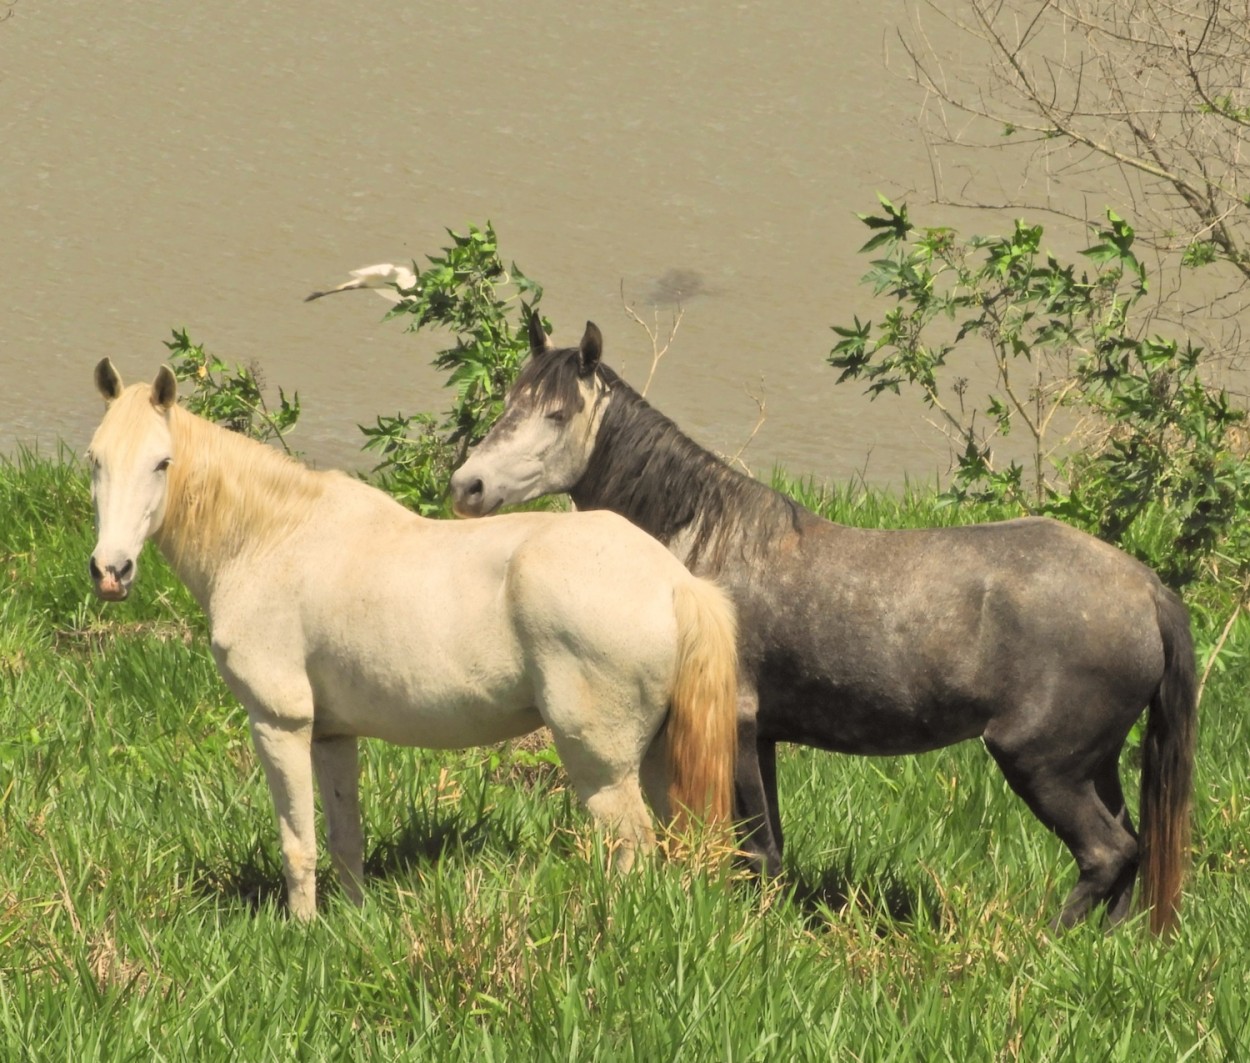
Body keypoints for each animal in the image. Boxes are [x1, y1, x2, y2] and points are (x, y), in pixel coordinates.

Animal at [90, 360, 740, 915]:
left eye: (162, 463)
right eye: (96, 460)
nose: (111, 571)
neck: (269, 538)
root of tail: (675, 581)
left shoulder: (279, 724)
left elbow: (298, 846)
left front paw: (302, 931)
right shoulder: (331, 735)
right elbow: (345, 839)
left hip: (602, 767)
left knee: (632, 847)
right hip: (653, 758)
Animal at [455, 315, 1195, 930]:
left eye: (556, 414)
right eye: (508, 405)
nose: (467, 485)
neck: (704, 550)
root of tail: (1145, 589)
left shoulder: (738, 725)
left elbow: (759, 849)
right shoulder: (763, 736)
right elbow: (766, 845)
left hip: (1042, 762)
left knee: (1107, 851)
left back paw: (1044, 939)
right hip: (1093, 760)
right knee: (1129, 850)